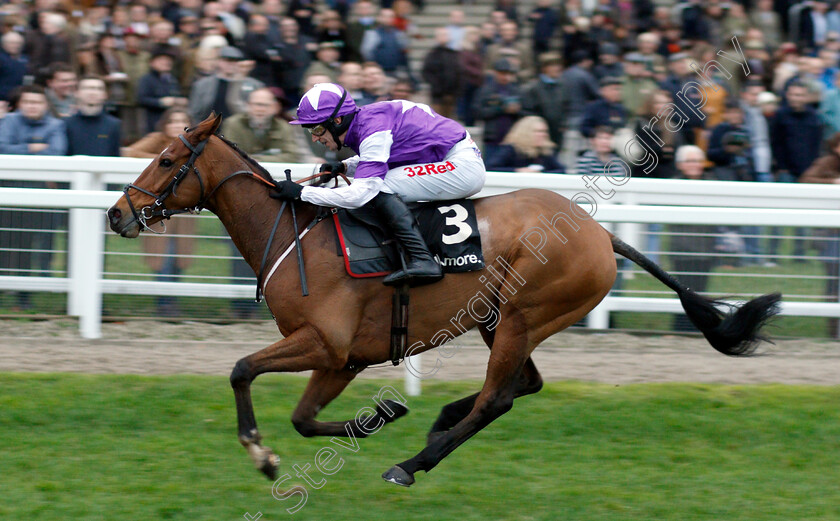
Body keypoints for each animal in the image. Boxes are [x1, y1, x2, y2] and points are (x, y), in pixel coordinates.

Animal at [105, 115, 780, 488]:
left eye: (166, 158)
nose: (117, 214)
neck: (296, 234)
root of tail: (597, 232)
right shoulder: (342, 358)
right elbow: (302, 417)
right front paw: (381, 414)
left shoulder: (324, 343)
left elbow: (241, 369)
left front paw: (261, 453)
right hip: (497, 318)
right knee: (521, 385)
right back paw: (436, 422)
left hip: (524, 314)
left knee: (497, 398)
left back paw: (414, 461)